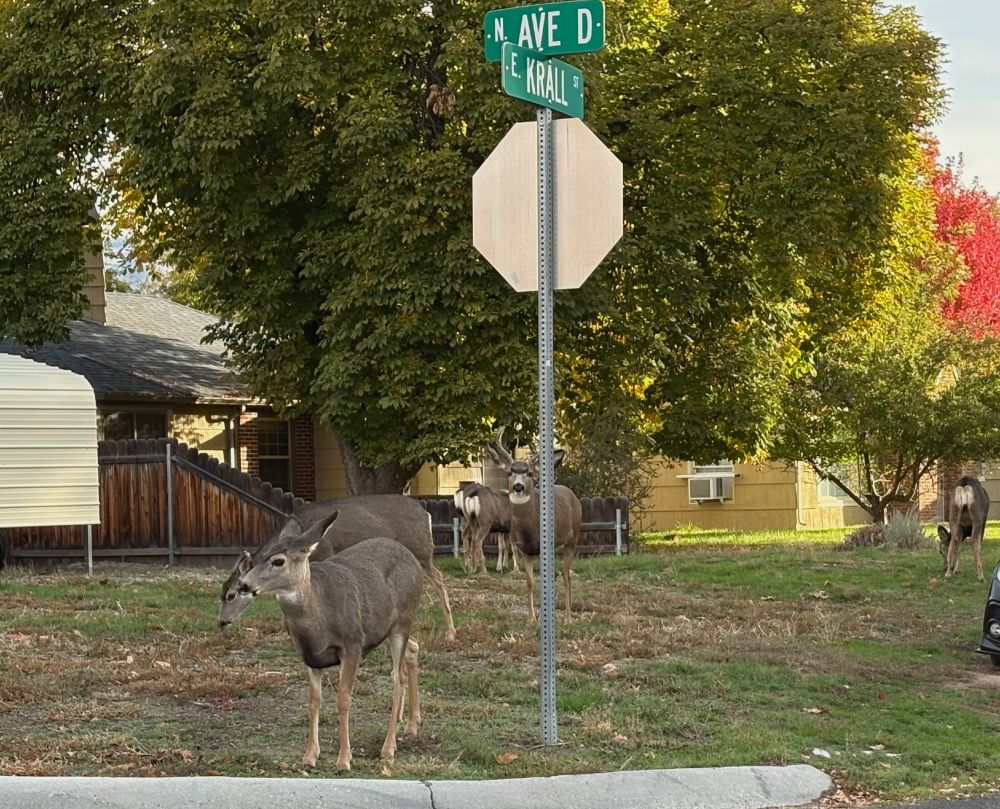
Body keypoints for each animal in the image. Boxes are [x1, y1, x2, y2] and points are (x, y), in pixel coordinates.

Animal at [218, 495, 455, 641]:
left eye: (231, 594)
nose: (221, 622)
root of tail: (427, 515)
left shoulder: (325, 552)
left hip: (421, 550)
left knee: (439, 578)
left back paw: (450, 632)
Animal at [236, 511, 424, 771]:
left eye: (278, 561)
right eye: (257, 558)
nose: (243, 585)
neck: (318, 617)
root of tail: (413, 559)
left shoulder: (352, 644)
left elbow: (343, 698)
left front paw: (344, 759)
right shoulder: (309, 656)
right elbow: (313, 701)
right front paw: (309, 756)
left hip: (402, 621)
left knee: (399, 677)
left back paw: (388, 747)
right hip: (385, 627)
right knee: (413, 648)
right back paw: (412, 723)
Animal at [487, 428, 582, 620]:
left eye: (530, 473)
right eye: (509, 472)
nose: (518, 486)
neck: (529, 530)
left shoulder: (546, 549)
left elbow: (549, 581)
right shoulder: (525, 550)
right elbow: (530, 582)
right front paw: (531, 618)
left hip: (572, 540)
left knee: (566, 576)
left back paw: (568, 617)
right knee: (561, 574)